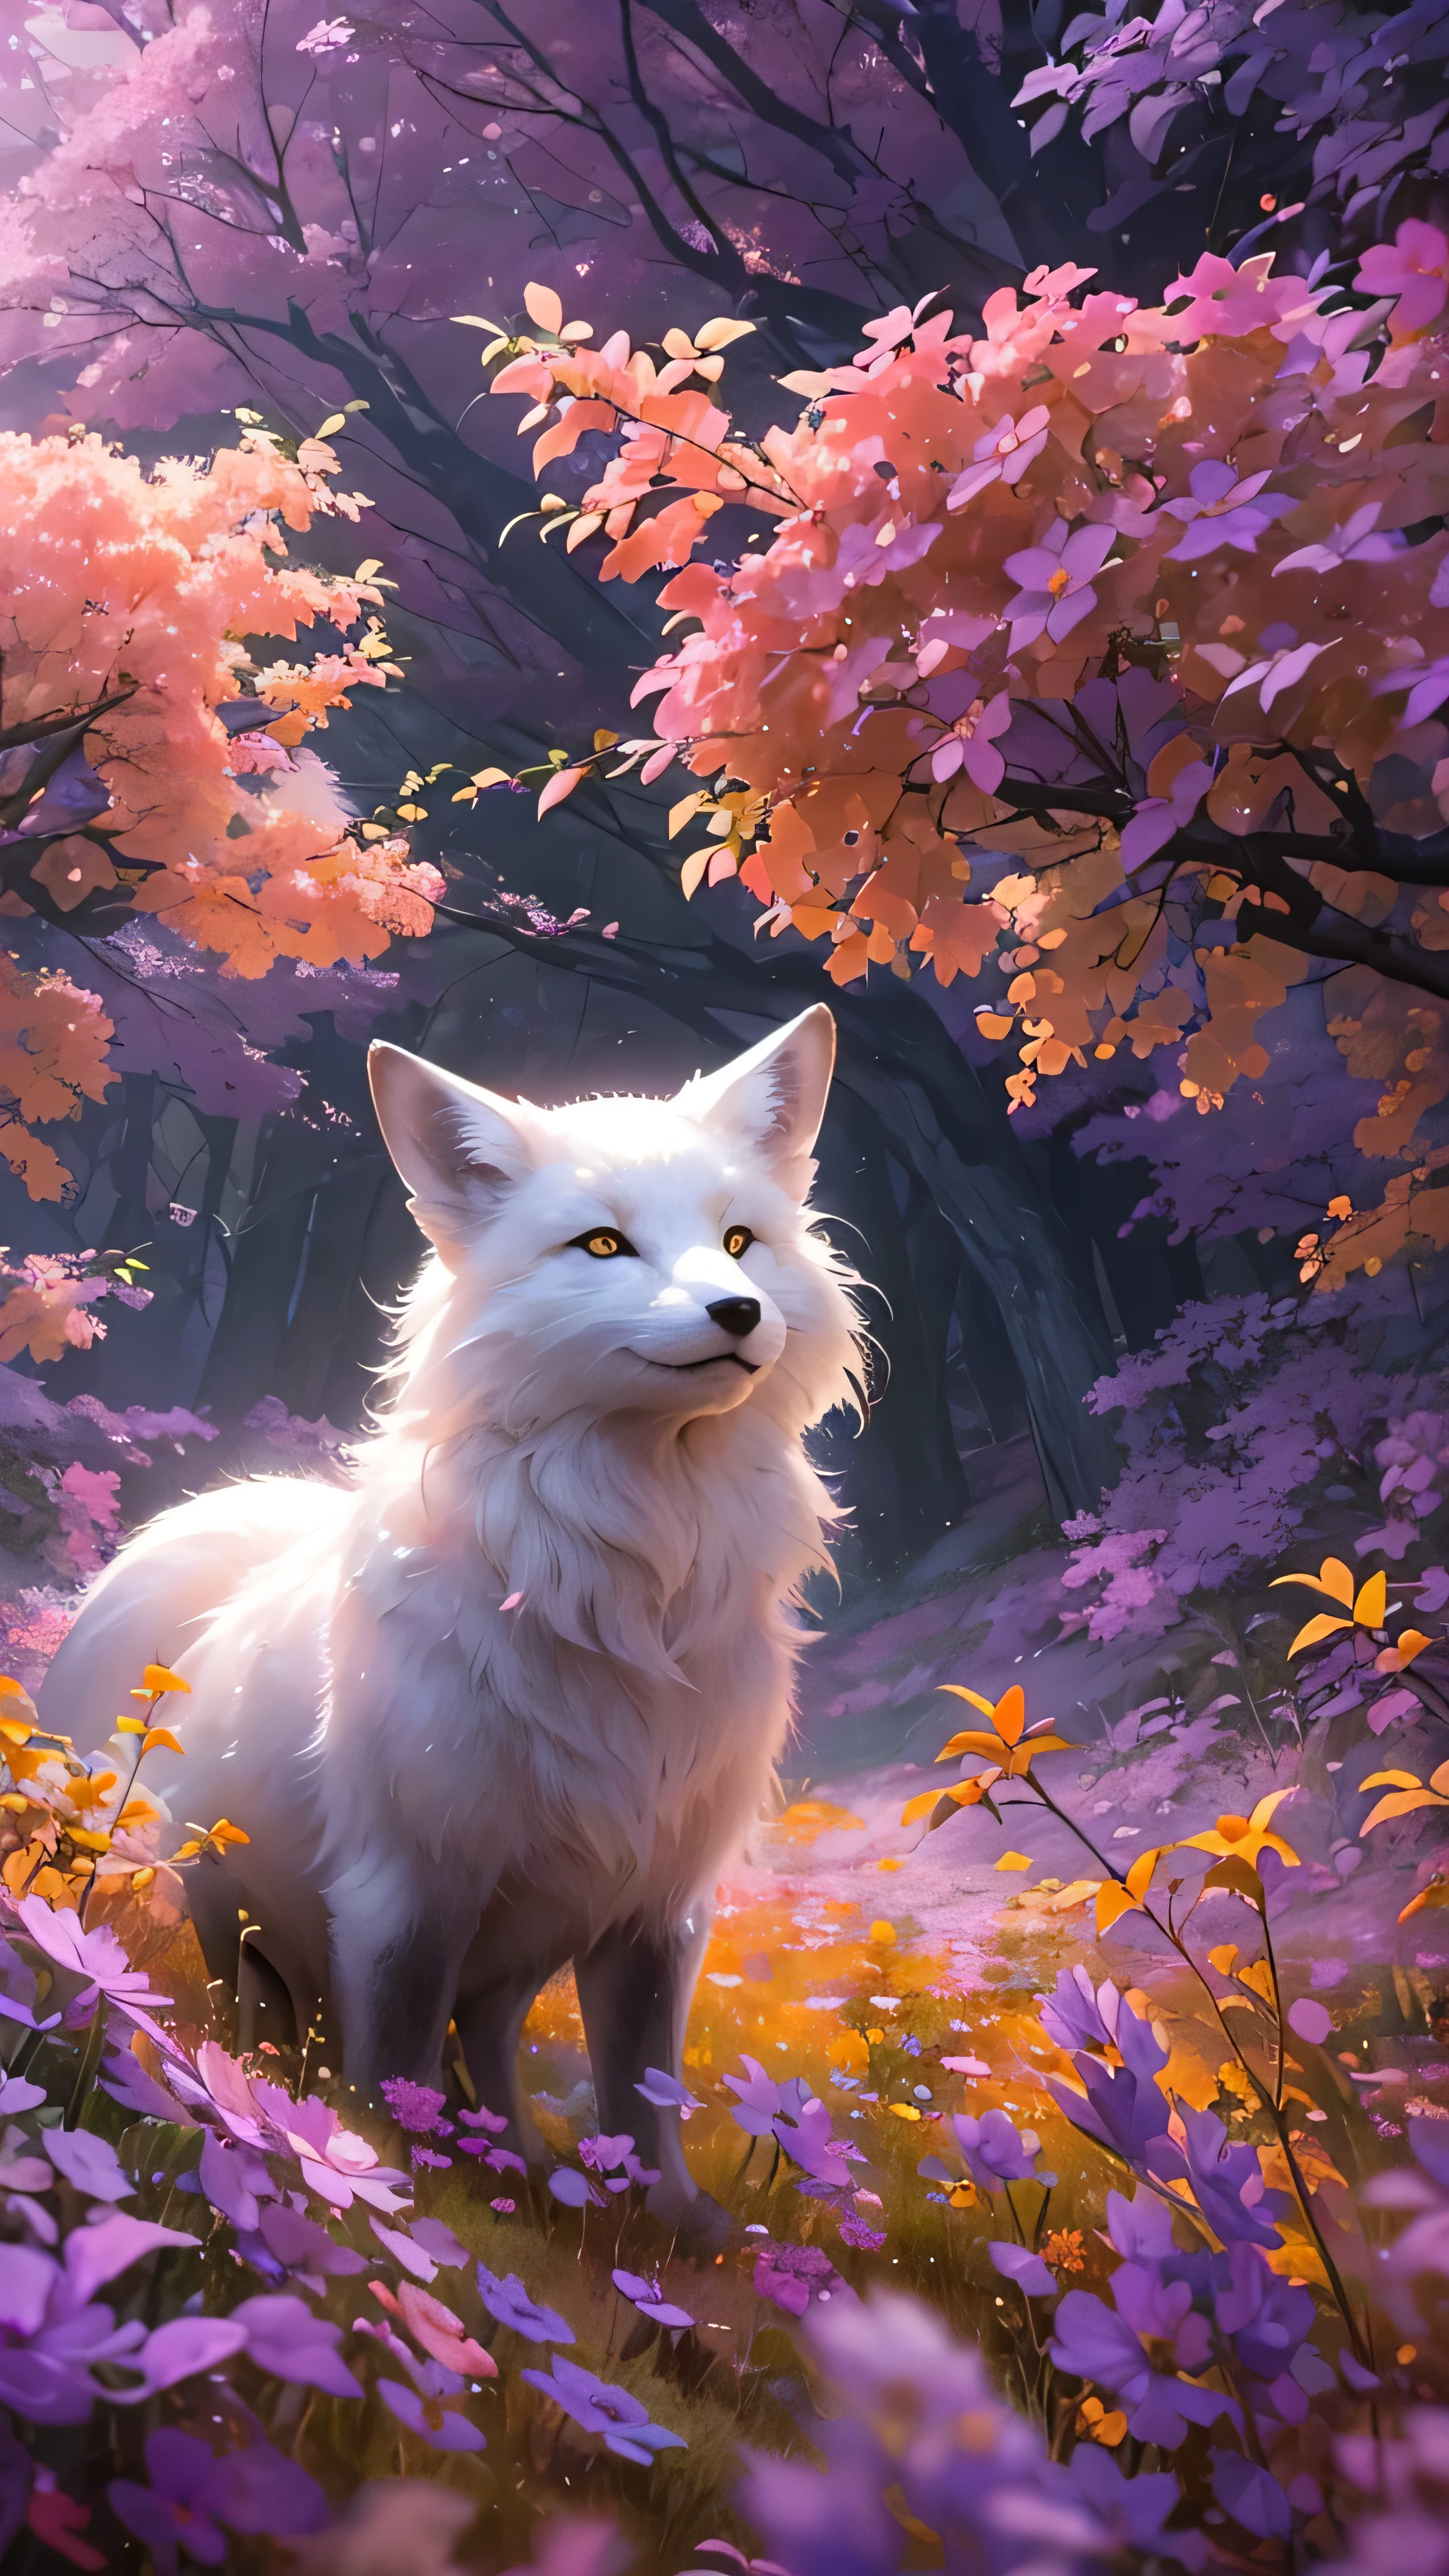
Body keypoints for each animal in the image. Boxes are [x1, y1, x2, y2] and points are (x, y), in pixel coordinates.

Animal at [41, 1004, 862, 2212]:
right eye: (603, 1246)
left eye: (739, 1241)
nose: (738, 1310)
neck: (627, 1589)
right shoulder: (407, 1894)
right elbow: (390, 2068)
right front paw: (383, 2184)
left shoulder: (660, 1910)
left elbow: (645, 2088)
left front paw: (668, 2218)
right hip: (222, 1912)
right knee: (255, 2006)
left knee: (489, 2044)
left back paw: (517, 2154)